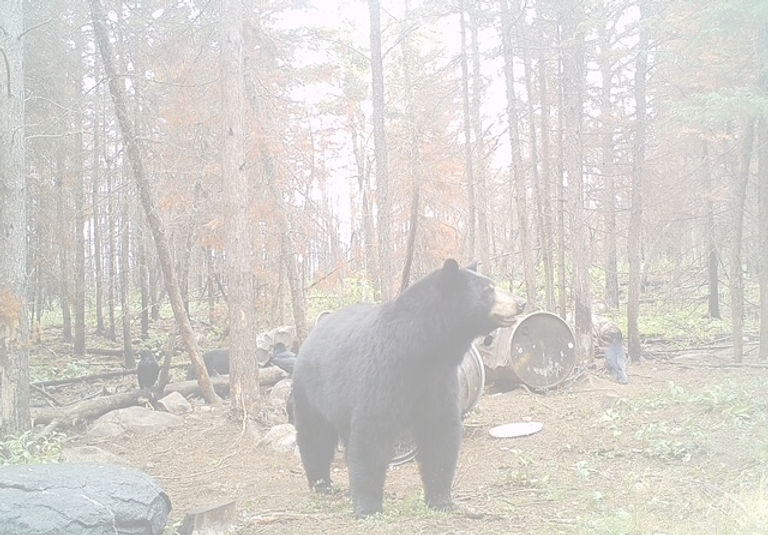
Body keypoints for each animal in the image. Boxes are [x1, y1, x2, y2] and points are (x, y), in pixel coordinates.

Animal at [291, 259, 525, 517]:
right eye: (488, 290)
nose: (520, 302)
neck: (421, 349)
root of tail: (316, 328)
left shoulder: (439, 380)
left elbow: (440, 431)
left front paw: (441, 500)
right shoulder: (382, 374)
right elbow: (371, 434)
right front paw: (368, 507)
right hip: (311, 389)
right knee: (315, 434)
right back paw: (321, 483)